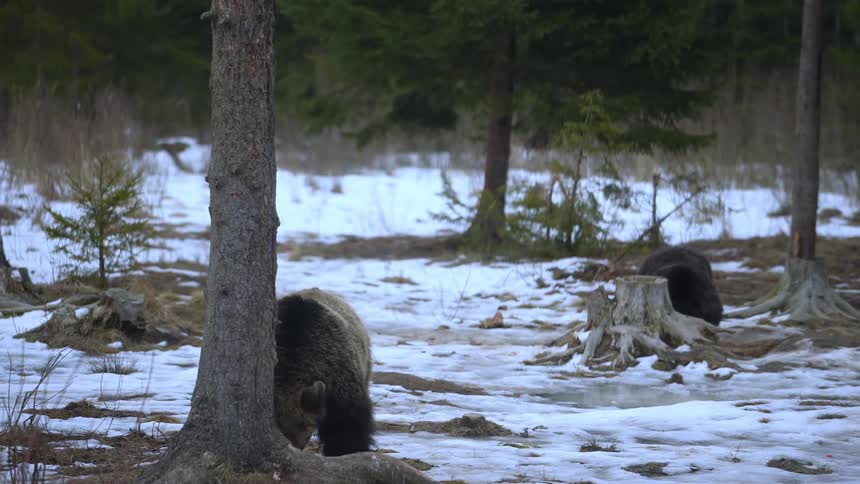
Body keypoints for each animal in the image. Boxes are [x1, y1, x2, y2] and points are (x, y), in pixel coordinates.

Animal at [274, 288, 374, 456]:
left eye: (304, 425)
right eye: (279, 426)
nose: (296, 447)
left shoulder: (339, 378)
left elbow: (348, 425)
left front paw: (346, 449)